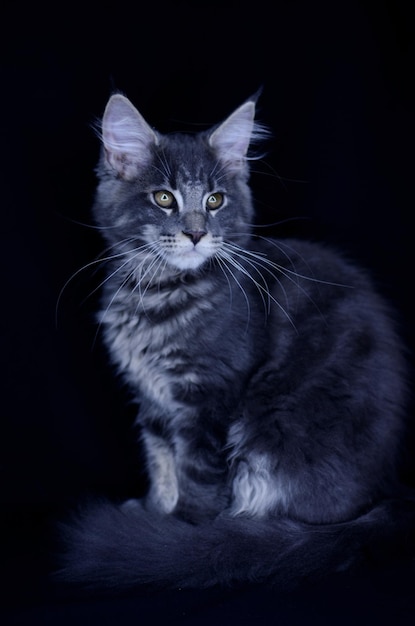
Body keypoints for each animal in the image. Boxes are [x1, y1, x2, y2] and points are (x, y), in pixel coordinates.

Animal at [60, 90, 414, 588]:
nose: (194, 233)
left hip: (271, 434)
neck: (158, 294)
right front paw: (155, 511)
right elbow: (161, 463)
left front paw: (179, 534)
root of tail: (385, 497)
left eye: (215, 200)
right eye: (163, 198)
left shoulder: (207, 398)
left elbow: (196, 476)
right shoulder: (152, 400)